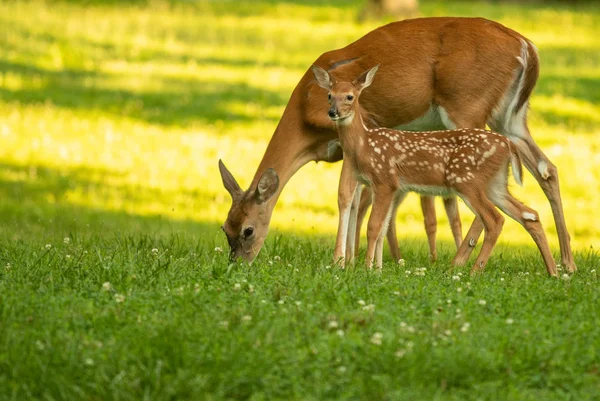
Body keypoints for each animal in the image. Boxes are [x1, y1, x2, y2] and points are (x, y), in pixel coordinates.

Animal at [314, 64, 556, 276]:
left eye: (349, 97)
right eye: (329, 95)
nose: (333, 112)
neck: (364, 145)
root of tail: (508, 144)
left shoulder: (384, 180)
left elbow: (373, 227)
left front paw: (367, 269)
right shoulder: (391, 187)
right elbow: (383, 228)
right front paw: (377, 269)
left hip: (466, 180)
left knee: (495, 220)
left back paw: (474, 272)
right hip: (495, 184)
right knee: (529, 215)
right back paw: (553, 272)